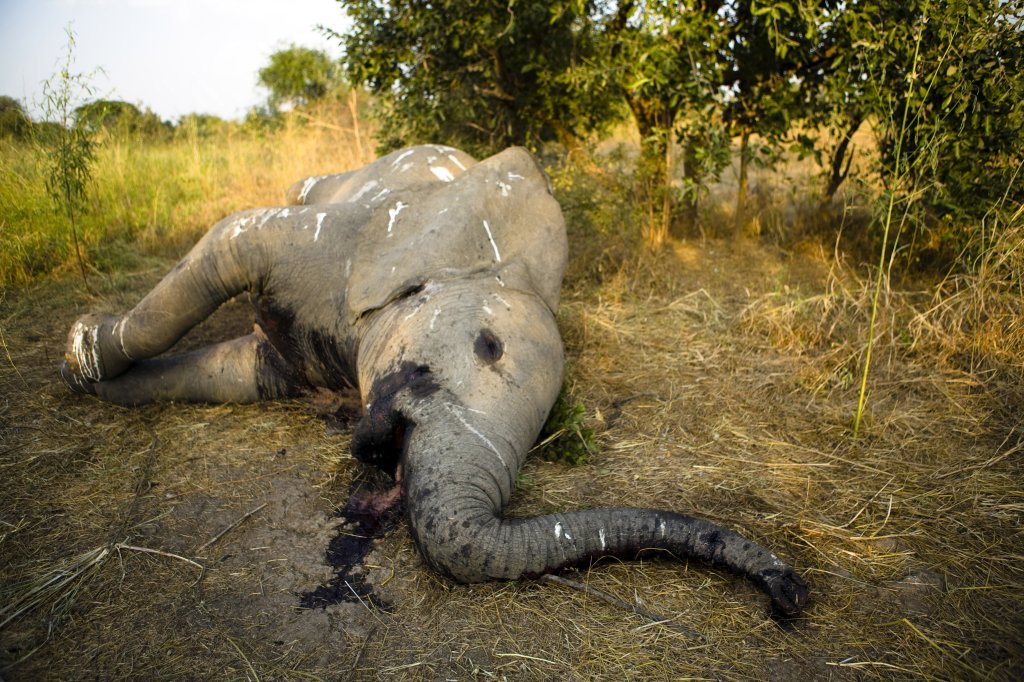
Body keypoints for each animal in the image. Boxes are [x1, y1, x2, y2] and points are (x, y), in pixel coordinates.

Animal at [61, 146, 806, 614]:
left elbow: (239, 374)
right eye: (487, 346)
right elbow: (231, 243)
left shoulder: (293, 365)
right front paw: (78, 355)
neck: (486, 264)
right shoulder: (341, 245)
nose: (789, 592)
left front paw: (98, 383)